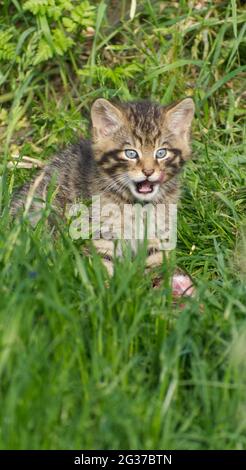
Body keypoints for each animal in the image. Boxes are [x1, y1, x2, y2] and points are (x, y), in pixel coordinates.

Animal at [11, 97, 195, 284]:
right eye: (131, 153)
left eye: (161, 153)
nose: (148, 172)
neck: (136, 204)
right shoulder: (100, 229)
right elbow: (102, 263)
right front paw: (105, 287)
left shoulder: (159, 229)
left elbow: (158, 260)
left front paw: (164, 284)